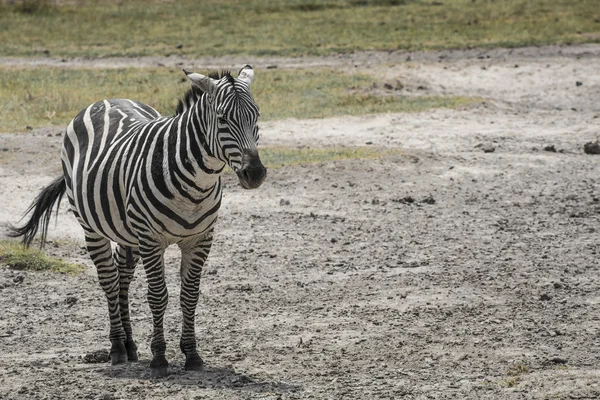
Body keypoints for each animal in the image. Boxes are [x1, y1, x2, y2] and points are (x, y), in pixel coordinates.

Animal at [8, 64, 266, 376]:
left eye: (256, 115)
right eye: (223, 119)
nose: (255, 174)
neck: (196, 184)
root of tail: (106, 99)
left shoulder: (200, 239)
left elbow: (190, 295)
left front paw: (192, 354)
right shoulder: (151, 239)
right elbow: (158, 295)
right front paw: (160, 358)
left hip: (126, 231)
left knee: (123, 276)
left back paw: (130, 344)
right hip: (93, 227)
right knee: (109, 278)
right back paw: (118, 348)